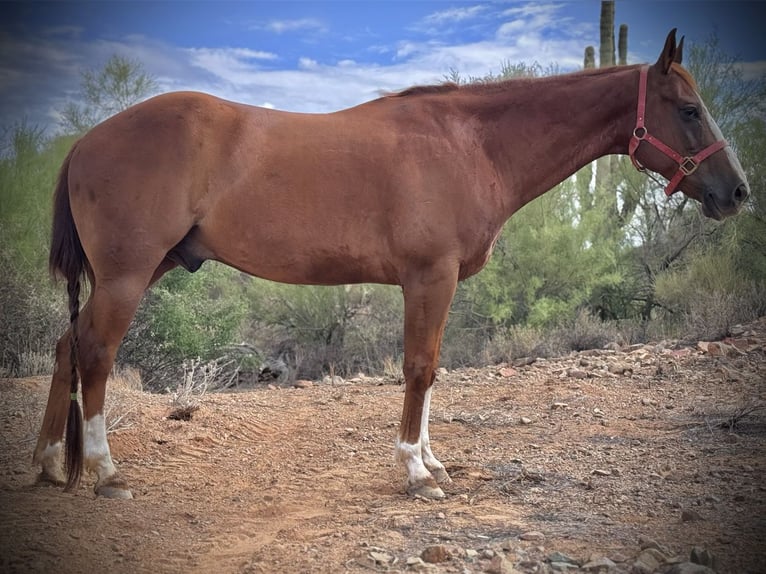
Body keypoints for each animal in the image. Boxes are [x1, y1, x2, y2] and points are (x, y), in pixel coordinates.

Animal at [34, 29, 748, 499]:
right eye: (689, 110)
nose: (738, 192)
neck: (471, 145)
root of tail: (85, 141)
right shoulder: (429, 276)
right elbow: (419, 368)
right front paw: (415, 471)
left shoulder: (437, 281)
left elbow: (431, 371)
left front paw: (433, 463)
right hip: (128, 276)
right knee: (96, 352)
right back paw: (105, 473)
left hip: (144, 269)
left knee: (69, 346)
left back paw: (46, 463)